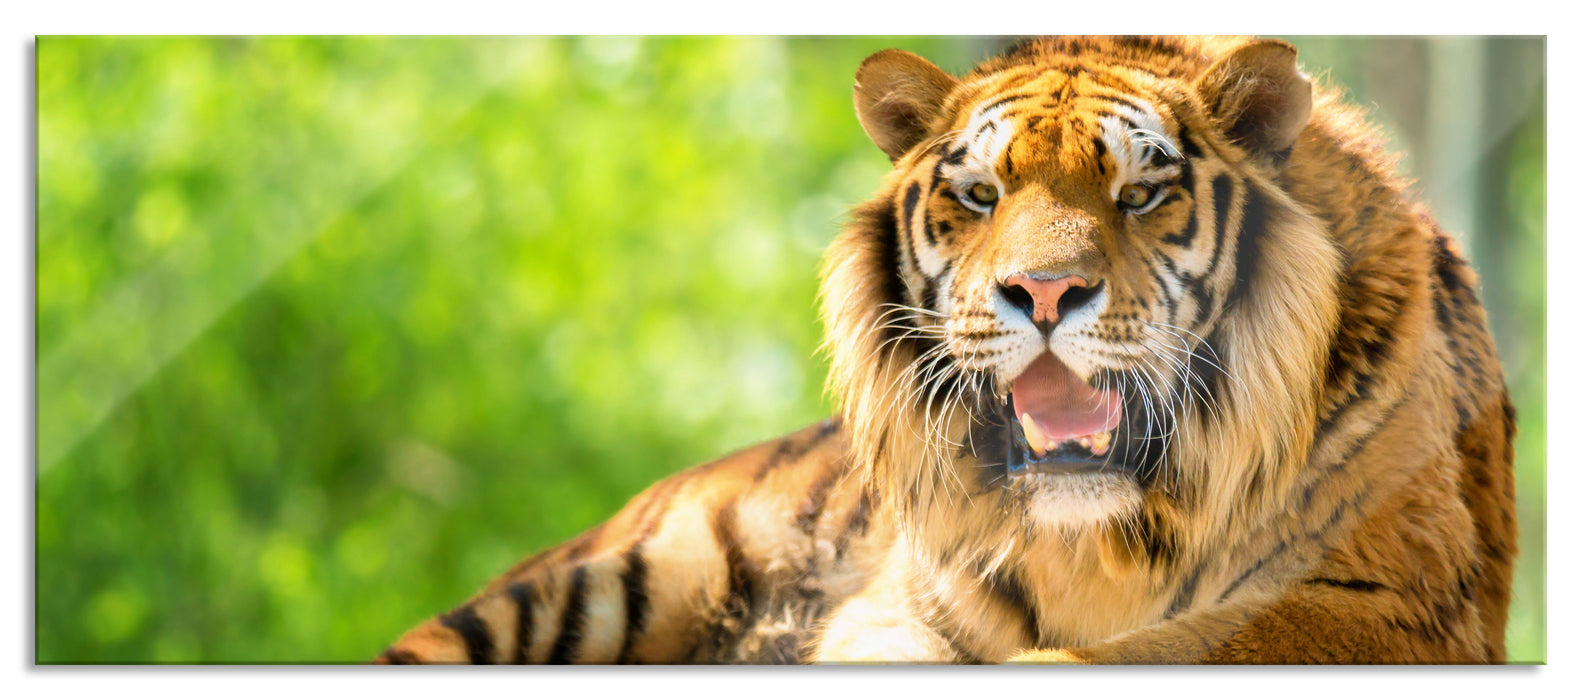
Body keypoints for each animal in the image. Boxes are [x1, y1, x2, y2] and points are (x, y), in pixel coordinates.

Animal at [376, 36, 1516, 664]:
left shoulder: (1385, 607)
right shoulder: (901, 606)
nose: (1044, 292)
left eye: (1140, 192)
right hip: (608, 580)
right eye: (979, 194)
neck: (1103, 538)